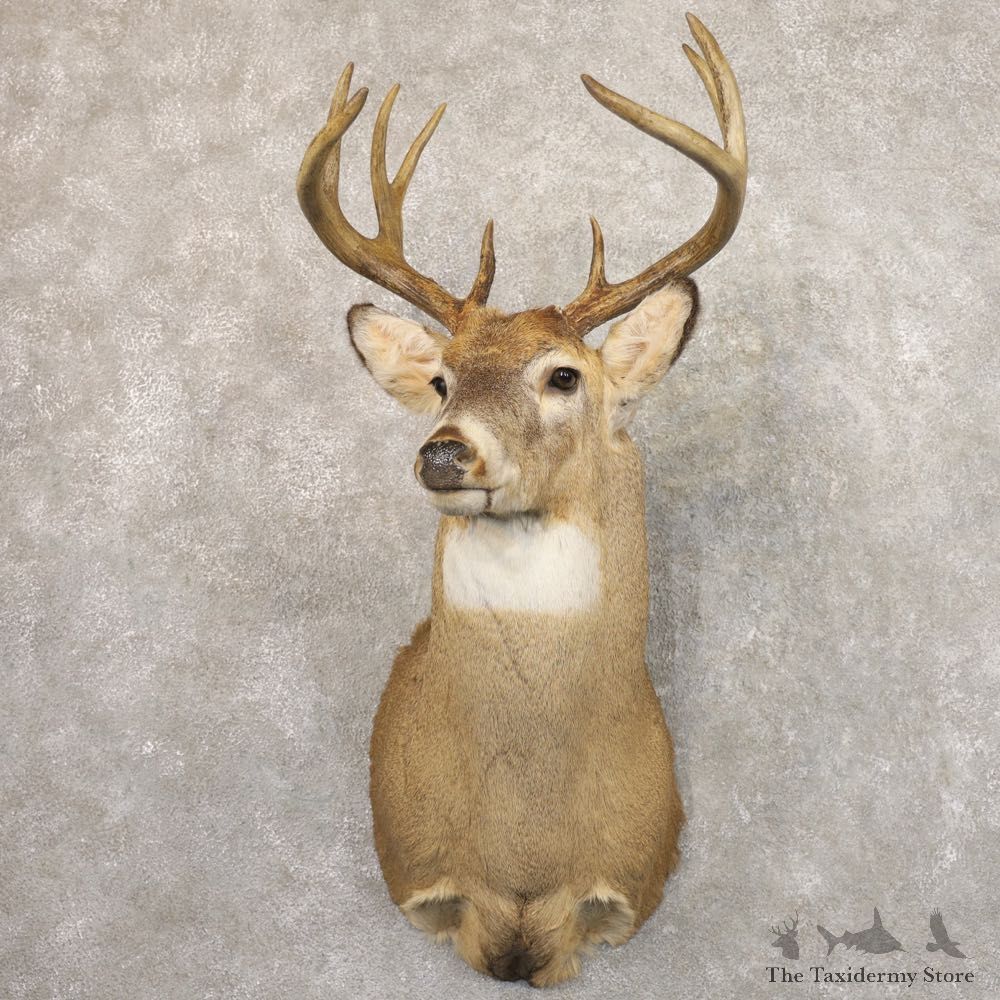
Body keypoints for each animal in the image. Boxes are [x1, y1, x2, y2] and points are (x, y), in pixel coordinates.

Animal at [296, 12, 746, 987]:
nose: (443, 451)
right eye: (440, 380)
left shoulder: (623, 891)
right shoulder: (423, 879)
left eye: (564, 375)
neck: (525, 847)